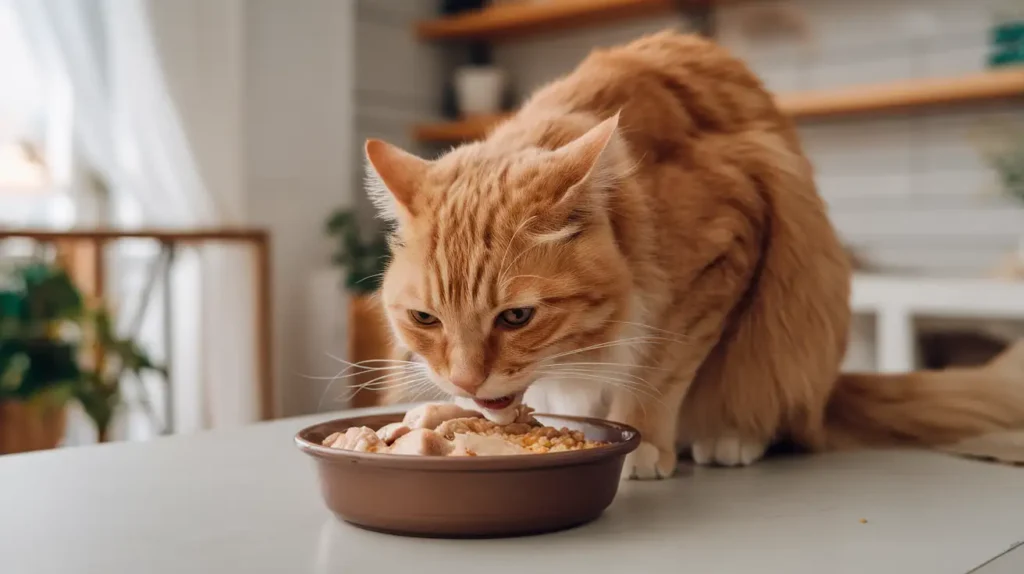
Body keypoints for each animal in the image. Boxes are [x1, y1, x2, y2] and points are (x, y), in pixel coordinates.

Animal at [362, 32, 1024, 478]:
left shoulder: (722, 253)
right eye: (424, 319)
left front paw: (645, 443)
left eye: (517, 317)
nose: (465, 381)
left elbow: (658, 374)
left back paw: (732, 438)